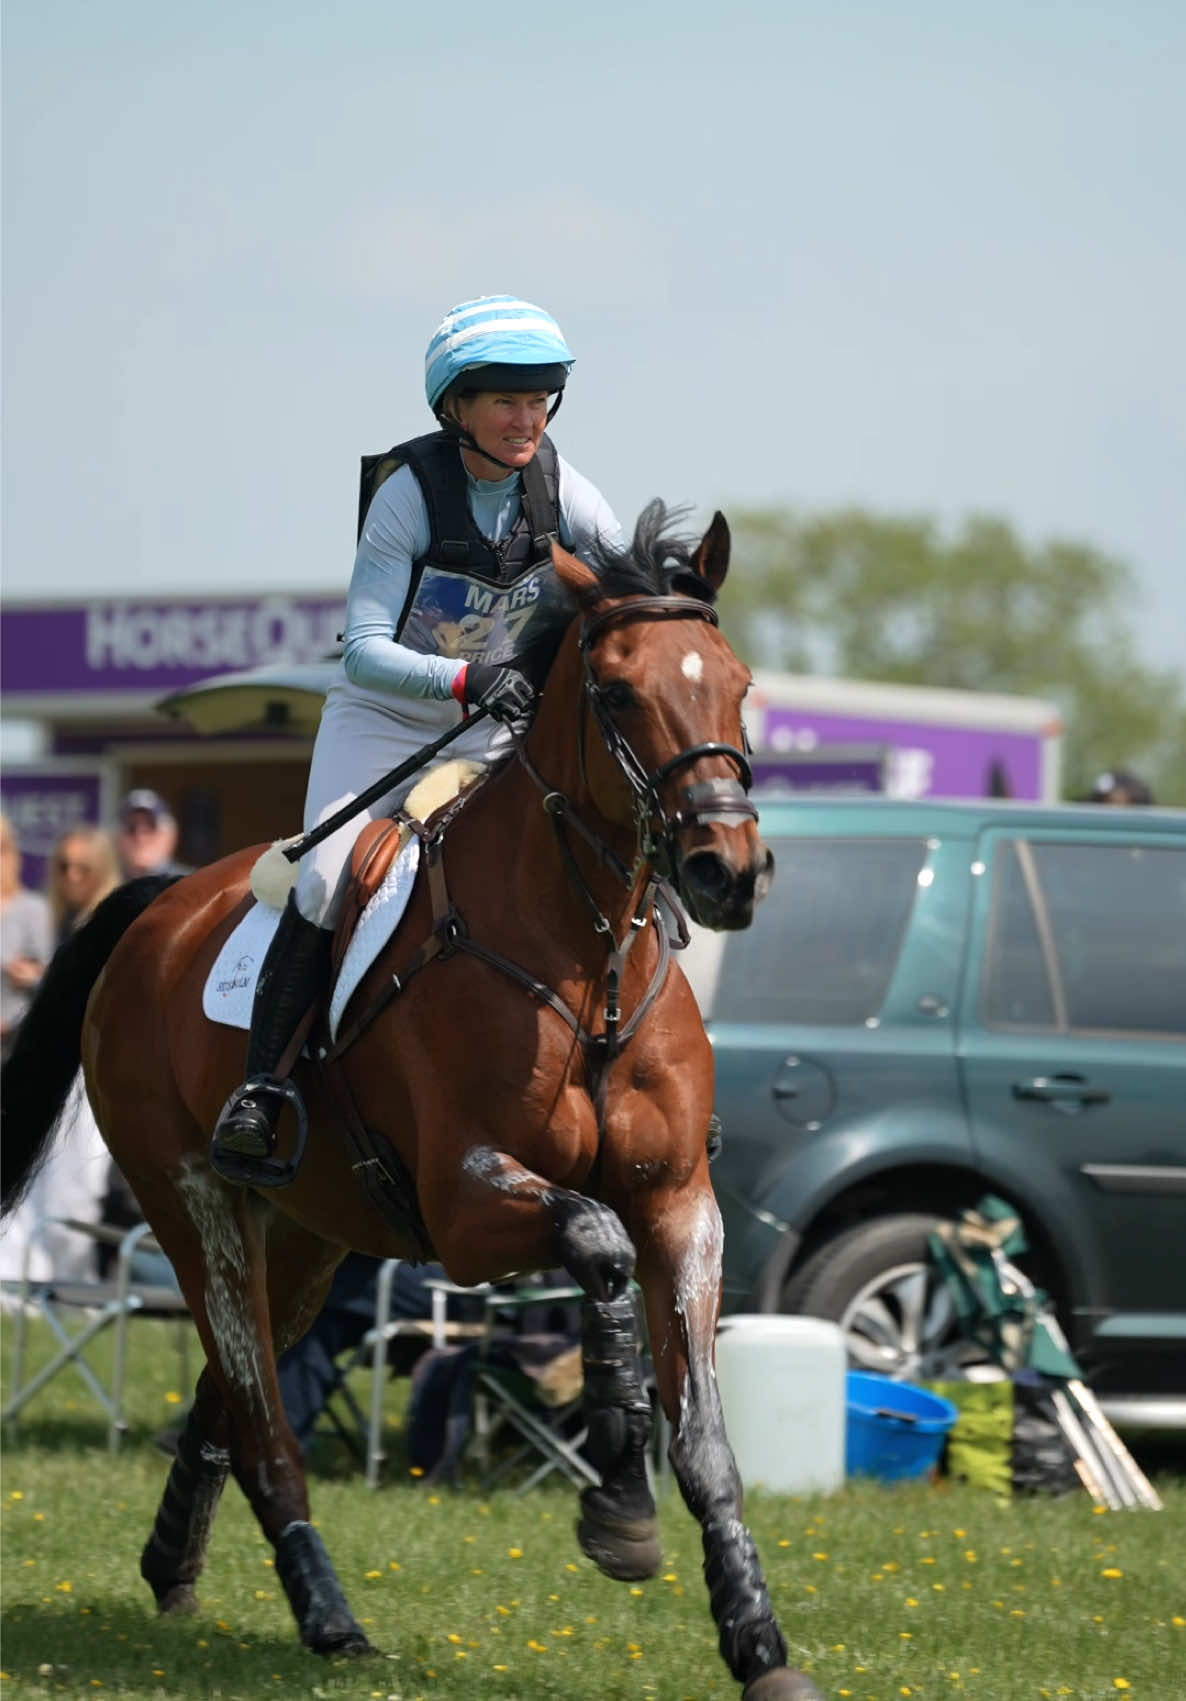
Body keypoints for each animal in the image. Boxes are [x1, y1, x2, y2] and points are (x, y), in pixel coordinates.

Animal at [1, 503, 823, 1701]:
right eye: (619, 692)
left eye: (739, 683)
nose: (728, 870)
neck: (585, 962)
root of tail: (162, 905)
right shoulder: (468, 1206)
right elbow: (597, 1242)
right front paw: (620, 1506)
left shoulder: (682, 1203)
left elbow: (706, 1435)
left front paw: (757, 1640)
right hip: (193, 1202)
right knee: (263, 1419)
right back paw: (327, 1612)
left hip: (309, 1234)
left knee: (228, 1391)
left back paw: (174, 1565)